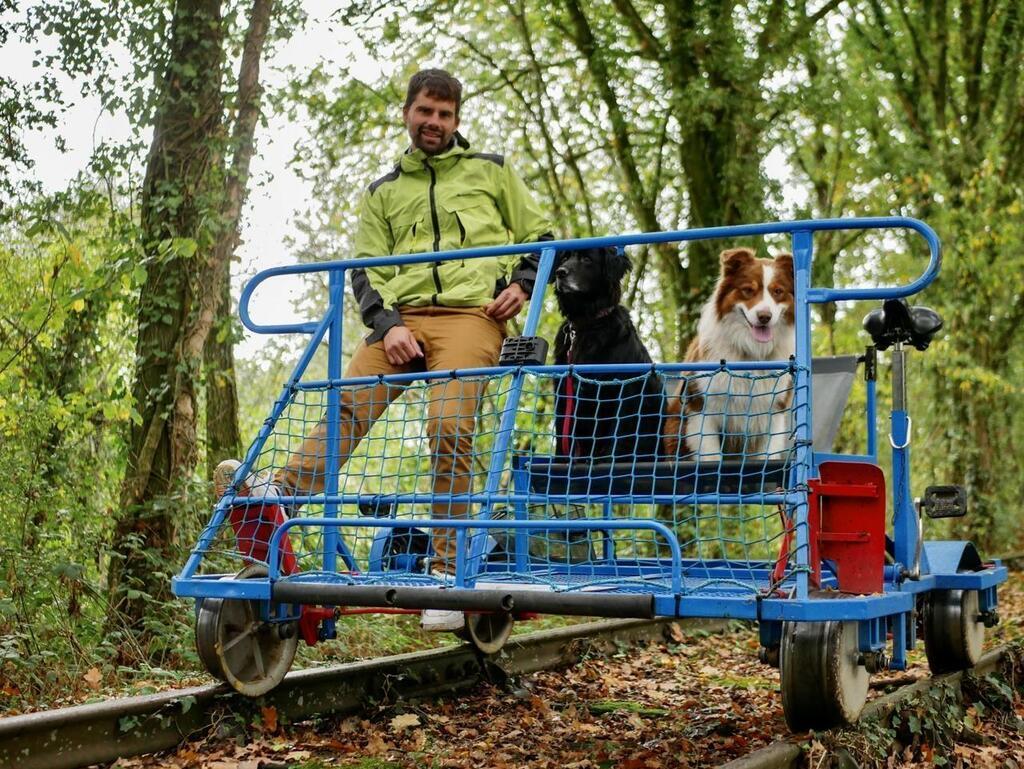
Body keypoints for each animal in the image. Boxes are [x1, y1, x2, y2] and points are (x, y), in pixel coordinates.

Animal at [552, 247, 663, 462]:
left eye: (587, 259)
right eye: (565, 257)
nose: (560, 273)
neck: (588, 324)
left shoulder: (624, 396)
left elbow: (617, 441)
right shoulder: (563, 396)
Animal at [671, 249, 798, 460]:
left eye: (778, 292)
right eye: (748, 290)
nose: (765, 317)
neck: (752, 355)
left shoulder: (773, 415)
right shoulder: (702, 411)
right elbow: (712, 458)